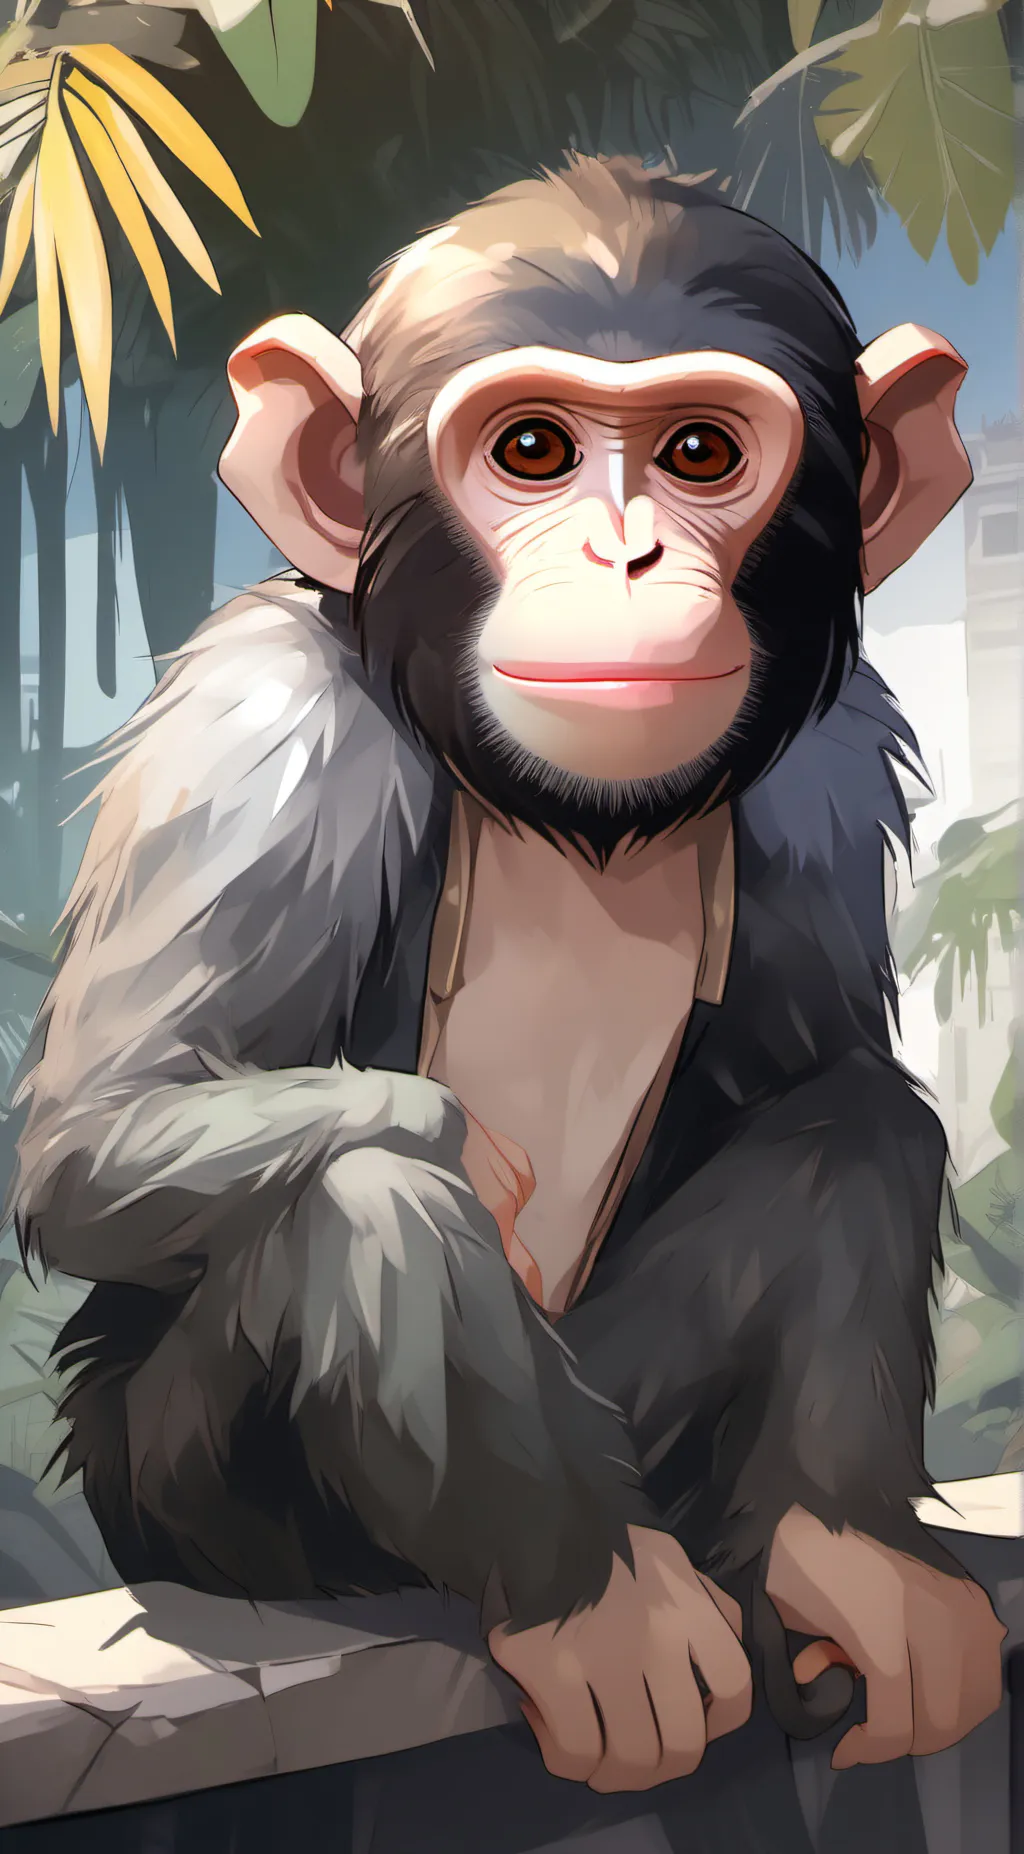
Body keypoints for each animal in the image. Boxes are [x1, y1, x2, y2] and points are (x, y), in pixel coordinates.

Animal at [7, 155, 1006, 1798]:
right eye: (531, 450)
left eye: (699, 451)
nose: (626, 554)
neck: (562, 817)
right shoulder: (267, 737)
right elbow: (100, 1128)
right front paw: (473, 1152)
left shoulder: (835, 763)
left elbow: (823, 1072)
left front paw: (841, 1547)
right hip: (186, 1485)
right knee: (354, 1192)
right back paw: (593, 1602)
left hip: (637, 1415)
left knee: (856, 1125)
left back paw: (821, 1549)